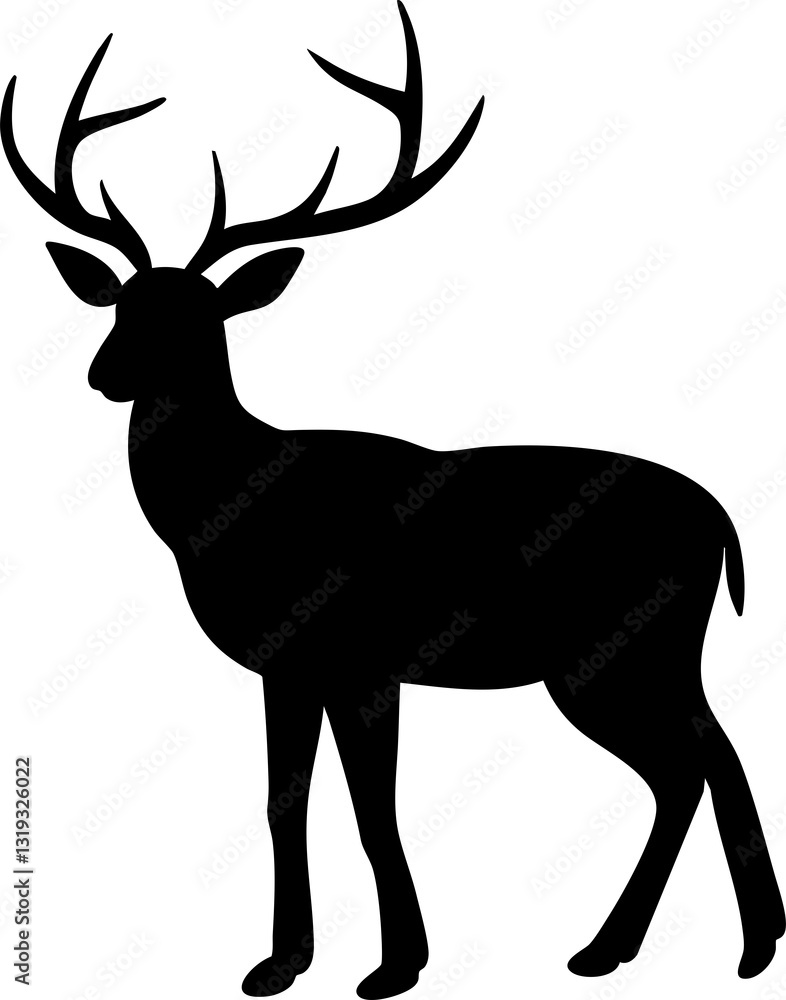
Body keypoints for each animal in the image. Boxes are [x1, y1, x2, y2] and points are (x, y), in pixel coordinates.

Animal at [2, 4, 784, 998]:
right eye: (119, 305)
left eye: (198, 318)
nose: (104, 374)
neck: (230, 511)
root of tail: (722, 520)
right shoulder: (288, 664)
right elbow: (283, 802)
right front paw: (280, 963)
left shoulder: (365, 656)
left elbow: (375, 808)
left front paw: (396, 966)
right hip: (649, 656)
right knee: (706, 758)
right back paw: (699, 947)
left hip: (618, 650)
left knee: (691, 764)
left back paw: (667, 946)